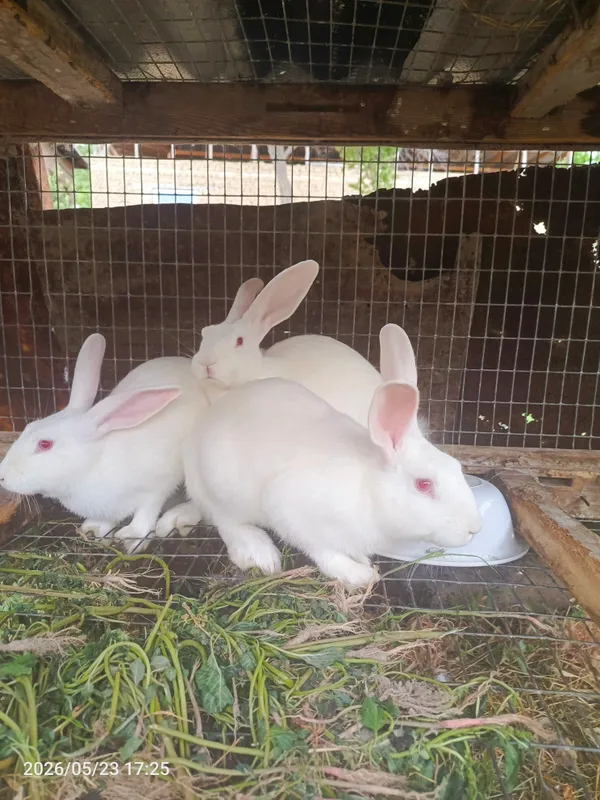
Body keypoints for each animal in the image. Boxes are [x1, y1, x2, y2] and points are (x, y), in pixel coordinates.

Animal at [0, 333, 222, 553]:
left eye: (45, 444)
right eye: (27, 427)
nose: (2, 477)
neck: (94, 461)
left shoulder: (157, 488)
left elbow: (146, 512)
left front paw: (131, 538)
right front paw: (95, 530)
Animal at [184, 323, 483, 588]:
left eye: (457, 467)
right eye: (424, 484)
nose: (474, 529)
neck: (368, 488)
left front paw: (361, 560)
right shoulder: (291, 512)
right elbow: (323, 552)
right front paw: (358, 574)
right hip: (223, 487)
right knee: (225, 521)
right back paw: (259, 553)